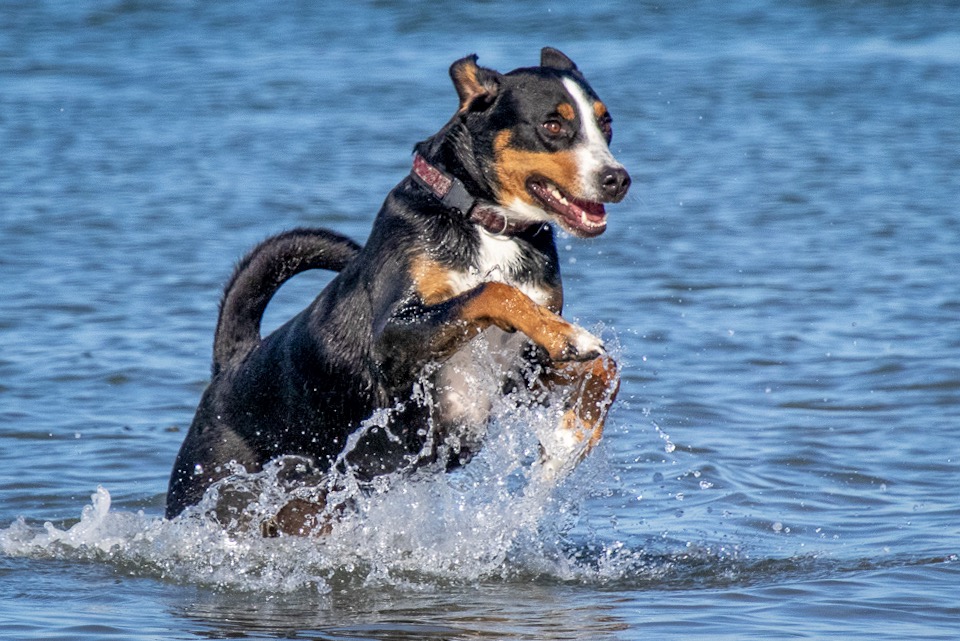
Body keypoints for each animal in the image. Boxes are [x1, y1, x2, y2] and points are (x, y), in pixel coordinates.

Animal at [165, 47, 632, 532]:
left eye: (606, 124)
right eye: (553, 125)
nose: (617, 179)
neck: (486, 223)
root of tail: (230, 365)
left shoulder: (519, 376)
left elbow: (606, 369)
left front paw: (568, 440)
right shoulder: (394, 345)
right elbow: (493, 292)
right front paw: (567, 335)